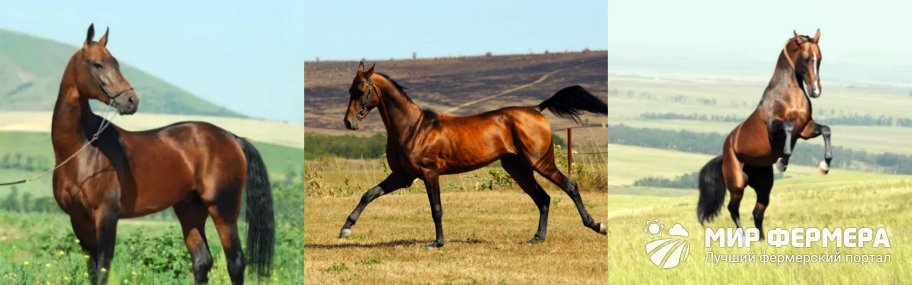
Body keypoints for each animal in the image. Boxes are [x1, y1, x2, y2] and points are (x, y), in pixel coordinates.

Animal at [52, 23, 274, 282]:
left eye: (115, 63)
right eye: (97, 64)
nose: (131, 100)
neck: (83, 150)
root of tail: (232, 137)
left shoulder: (106, 216)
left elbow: (103, 269)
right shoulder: (79, 220)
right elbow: (92, 269)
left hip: (223, 210)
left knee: (235, 262)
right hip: (190, 210)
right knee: (202, 261)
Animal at [334, 61, 604, 246]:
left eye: (361, 91)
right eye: (349, 90)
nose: (349, 122)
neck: (413, 127)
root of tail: (536, 109)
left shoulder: (429, 173)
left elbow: (436, 208)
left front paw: (438, 243)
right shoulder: (403, 176)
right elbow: (369, 194)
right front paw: (345, 229)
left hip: (540, 162)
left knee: (569, 186)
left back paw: (597, 225)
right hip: (517, 167)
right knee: (543, 198)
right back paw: (537, 238)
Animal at [700, 30, 832, 237]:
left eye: (819, 58)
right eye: (805, 58)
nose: (815, 91)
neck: (789, 95)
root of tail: (724, 154)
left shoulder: (805, 130)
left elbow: (826, 130)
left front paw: (824, 165)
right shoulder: (776, 128)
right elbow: (787, 129)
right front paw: (782, 162)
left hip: (763, 186)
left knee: (757, 212)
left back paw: (761, 241)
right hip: (737, 184)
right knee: (733, 209)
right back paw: (744, 239)